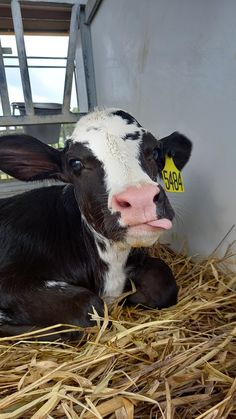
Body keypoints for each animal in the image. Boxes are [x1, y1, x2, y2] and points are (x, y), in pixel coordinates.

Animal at [0, 108, 192, 338]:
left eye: (155, 151)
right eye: (75, 163)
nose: (141, 199)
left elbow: (163, 282)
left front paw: (130, 298)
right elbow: (89, 306)